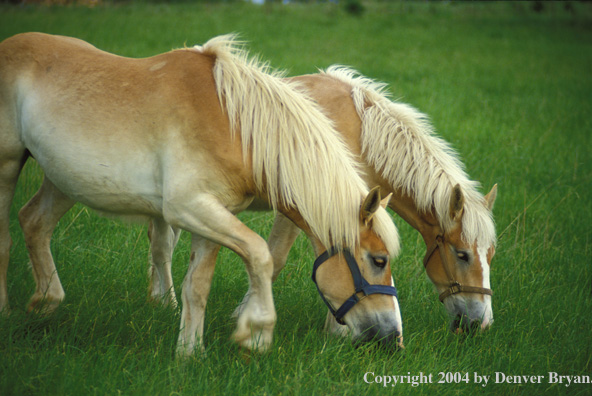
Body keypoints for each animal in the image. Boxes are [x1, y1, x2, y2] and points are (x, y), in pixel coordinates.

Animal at [0, 34, 402, 354]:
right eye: (378, 260)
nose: (392, 335)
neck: (234, 125)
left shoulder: (214, 216)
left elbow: (197, 286)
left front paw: (190, 354)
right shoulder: (187, 208)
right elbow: (260, 255)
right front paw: (256, 332)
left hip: (62, 178)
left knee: (34, 222)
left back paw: (46, 302)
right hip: (8, 166)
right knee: (7, 236)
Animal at [148, 67, 494, 334]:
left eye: (490, 255)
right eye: (462, 254)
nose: (481, 323)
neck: (360, 133)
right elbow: (278, 257)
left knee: (161, 243)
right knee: (163, 247)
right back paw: (167, 303)